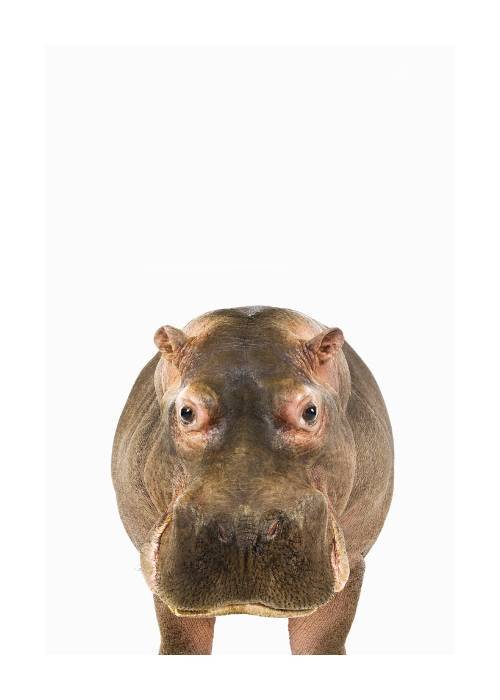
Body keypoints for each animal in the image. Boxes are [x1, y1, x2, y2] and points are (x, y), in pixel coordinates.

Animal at [111, 306, 393, 654]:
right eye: (187, 412)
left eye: (310, 411)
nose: (244, 531)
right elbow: (182, 640)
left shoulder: (351, 560)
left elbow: (321, 642)